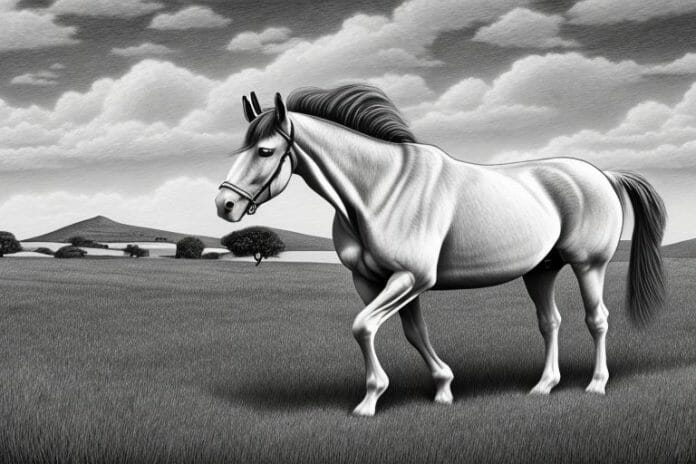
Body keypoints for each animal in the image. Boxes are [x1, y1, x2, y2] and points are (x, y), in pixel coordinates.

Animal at [215, 84, 666, 417]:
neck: (380, 191)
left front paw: (369, 401)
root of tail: (603, 175)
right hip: (541, 270)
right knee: (549, 322)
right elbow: (413, 333)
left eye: (266, 151)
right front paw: (444, 388)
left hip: (589, 265)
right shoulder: (377, 281)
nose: (224, 205)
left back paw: (596, 385)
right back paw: (543, 386)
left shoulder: (411, 277)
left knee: (598, 320)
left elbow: (363, 327)